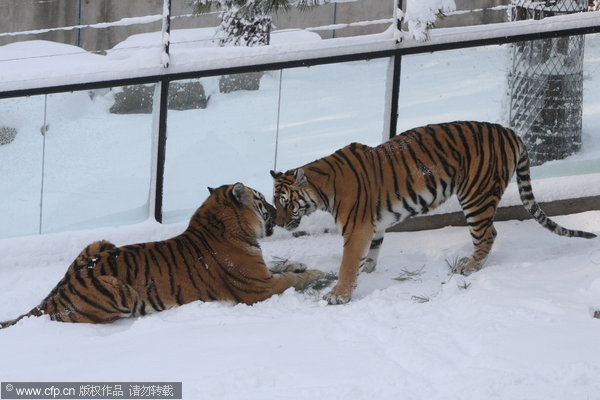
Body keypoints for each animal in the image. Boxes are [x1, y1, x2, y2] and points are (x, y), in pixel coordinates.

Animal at [0, 184, 324, 328]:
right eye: (261, 200)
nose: (274, 212)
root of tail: (52, 298)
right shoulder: (258, 288)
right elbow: (288, 280)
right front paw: (318, 273)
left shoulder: (262, 274)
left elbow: (282, 267)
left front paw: (300, 264)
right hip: (119, 291)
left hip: (98, 244)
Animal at [270, 120, 596, 304]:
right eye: (275, 203)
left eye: (286, 203)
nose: (279, 225)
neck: (322, 189)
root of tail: (509, 131)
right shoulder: (373, 226)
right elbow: (370, 255)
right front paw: (368, 272)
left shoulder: (356, 228)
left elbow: (347, 264)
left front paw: (338, 295)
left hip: (476, 195)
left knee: (488, 233)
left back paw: (469, 267)